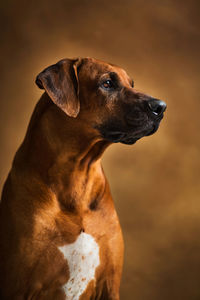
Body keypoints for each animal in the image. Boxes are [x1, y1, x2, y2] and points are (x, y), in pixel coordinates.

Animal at [0, 57, 166, 298]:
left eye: (131, 84)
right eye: (107, 83)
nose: (161, 107)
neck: (77, 176)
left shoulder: (109, 285)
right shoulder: (19, 286)